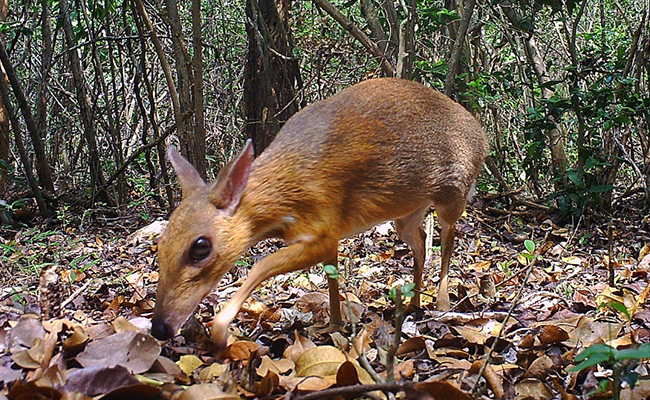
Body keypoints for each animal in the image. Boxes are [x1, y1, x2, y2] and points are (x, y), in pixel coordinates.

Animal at [150, 78, 489, 350]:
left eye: (200, 247)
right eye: (161, 243)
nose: (159, 327)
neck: (286, 190)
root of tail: (483, 136)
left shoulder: (324, 225)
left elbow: (262, 265)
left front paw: (220, 330)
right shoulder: (330, 234)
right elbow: (331, 275)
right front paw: (333, 324)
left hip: (454, 193)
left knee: (448, 241)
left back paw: (442, 303)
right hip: (407, 212)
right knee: (419, 241)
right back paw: (414, 302)